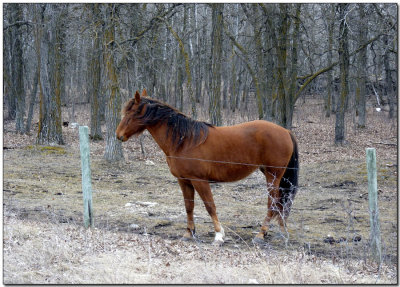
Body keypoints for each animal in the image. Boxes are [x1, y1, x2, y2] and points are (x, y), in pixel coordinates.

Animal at [115, 89, 296, 245]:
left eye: (133, 113)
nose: (119, 135)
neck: (184, 141)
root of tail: (285, 131)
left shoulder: (199, 181)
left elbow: (210, 206)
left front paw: (219, 235)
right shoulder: (184, 181)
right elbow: (189, 206)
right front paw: (189, 233)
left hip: (273, 175)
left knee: (273, 203)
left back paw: (261, 234)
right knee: (280, 202)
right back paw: (280, 231)